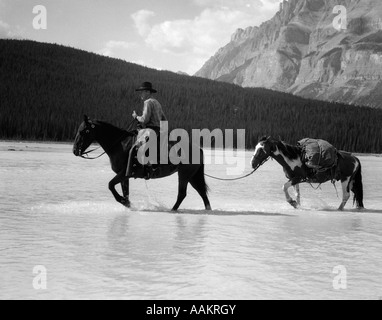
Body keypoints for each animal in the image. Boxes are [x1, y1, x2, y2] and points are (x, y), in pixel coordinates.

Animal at [72, 116, 210, 211]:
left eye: (83, 131)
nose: (74, 150)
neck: (120, 145)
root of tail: (199, 149)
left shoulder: (124, 173)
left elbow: (110, 185)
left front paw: (124, 202)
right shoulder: (124, 176)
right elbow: (125, 192)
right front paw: (127, 203)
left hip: (184, 175)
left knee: (182, 194)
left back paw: (172, 210)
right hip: (192, 176)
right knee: (202, 192)